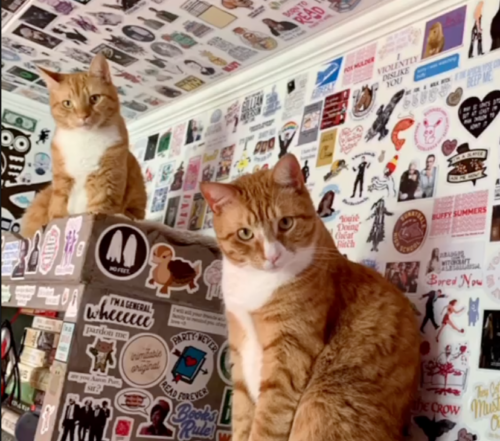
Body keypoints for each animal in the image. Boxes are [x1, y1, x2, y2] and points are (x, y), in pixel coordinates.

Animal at [21, 53, 146, 239]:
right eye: (67, 103)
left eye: (94, 98)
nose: (83, 116)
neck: (85, 139)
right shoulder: (61, 181)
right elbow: (57, 212)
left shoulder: (106, 180)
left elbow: (99, 207)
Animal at [201, 154, 420, 440]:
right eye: (245, 233)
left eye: (285, 222)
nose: (273, 256)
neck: (256, 284)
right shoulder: (239, 348)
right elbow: (242, 416)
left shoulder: (289, 352)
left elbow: (266, 421)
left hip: (323, 398)